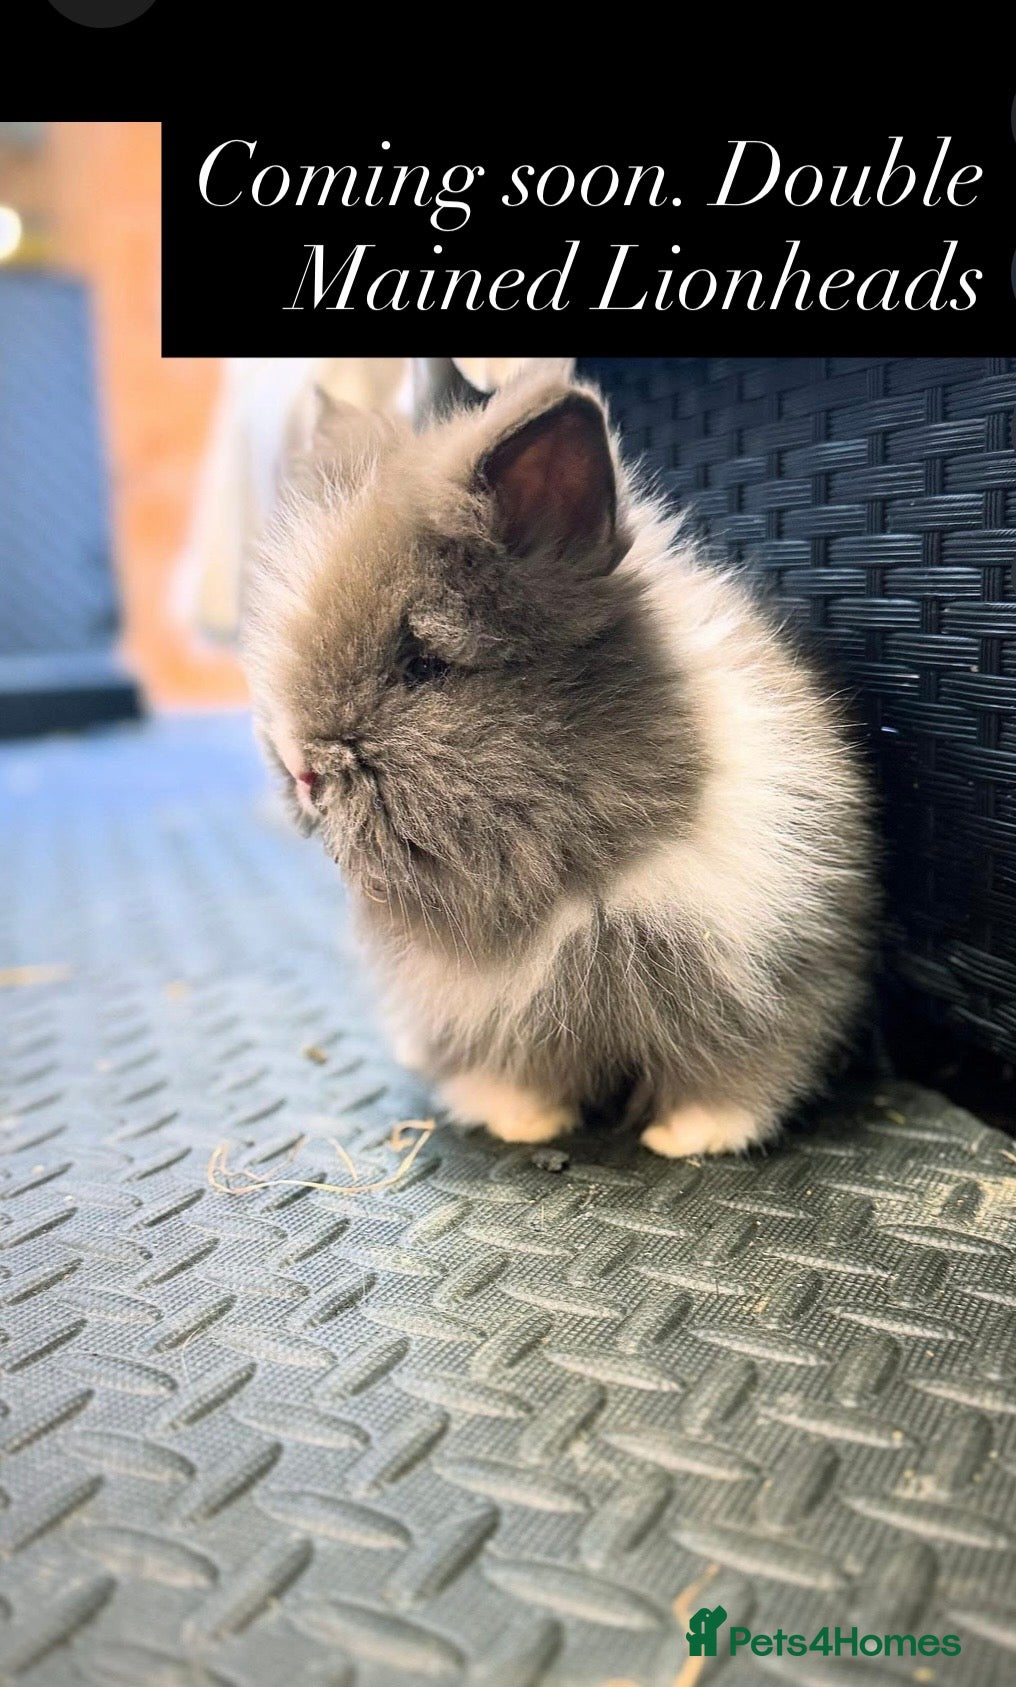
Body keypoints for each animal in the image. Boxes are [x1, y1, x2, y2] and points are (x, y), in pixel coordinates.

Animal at [242, 370, 876, 1158]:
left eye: (423, 665)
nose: (301, 770)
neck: (580, 862)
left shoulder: (763, 982)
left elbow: (731, 1075)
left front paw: (687, 1138)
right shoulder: (494, 1016)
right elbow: (520, 1073)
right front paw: (523, 1124)